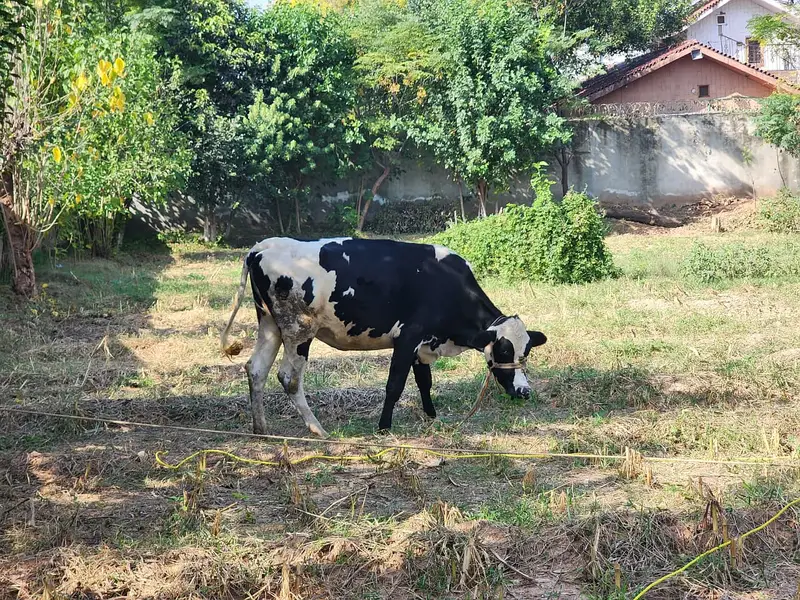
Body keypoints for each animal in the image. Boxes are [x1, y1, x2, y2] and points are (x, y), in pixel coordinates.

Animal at [220, 237, 547, 437]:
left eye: (526, 351)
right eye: (503, 351)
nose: (524, 391)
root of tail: (262, 246)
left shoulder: (423, 344)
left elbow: (424, 381)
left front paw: (431, 415)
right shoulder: (407, 338)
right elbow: (394, 385)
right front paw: (384, 426)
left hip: (269, 325)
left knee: (256, 369)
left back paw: (261, 428)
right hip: (299, 331)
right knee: (288, 377)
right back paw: (317, 430)